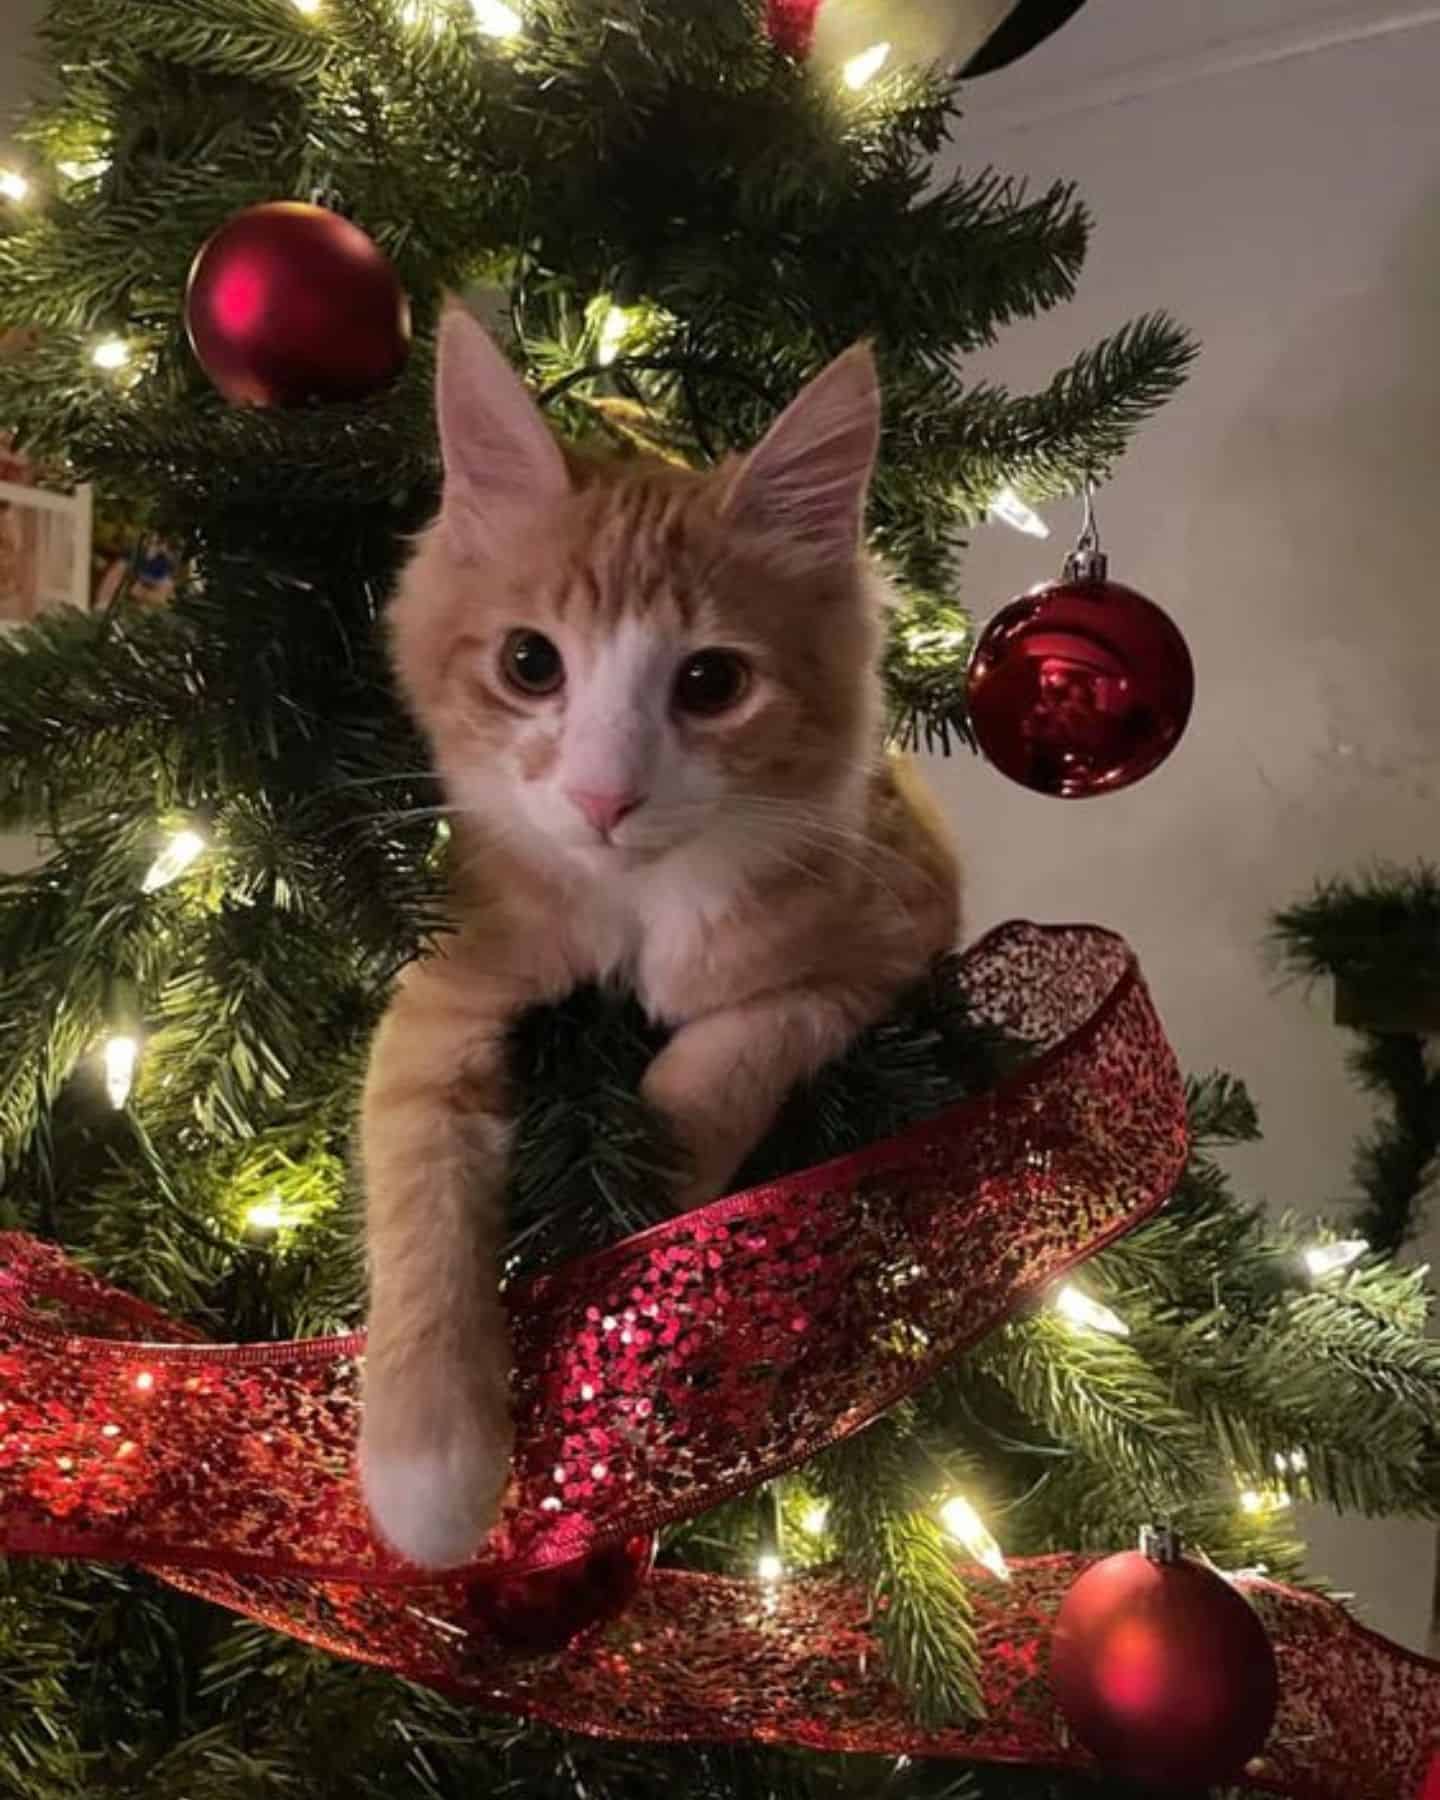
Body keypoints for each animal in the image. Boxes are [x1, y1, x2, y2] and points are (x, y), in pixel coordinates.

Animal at [360, 306, 964, 1562]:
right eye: (530, 663)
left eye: (713, 682)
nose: (604, 797)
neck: (640, 905)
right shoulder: (452, 974)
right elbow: (419, 1187)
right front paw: (427, 1463)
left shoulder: (898, 920)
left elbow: (740, 1047)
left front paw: (643, 1245)